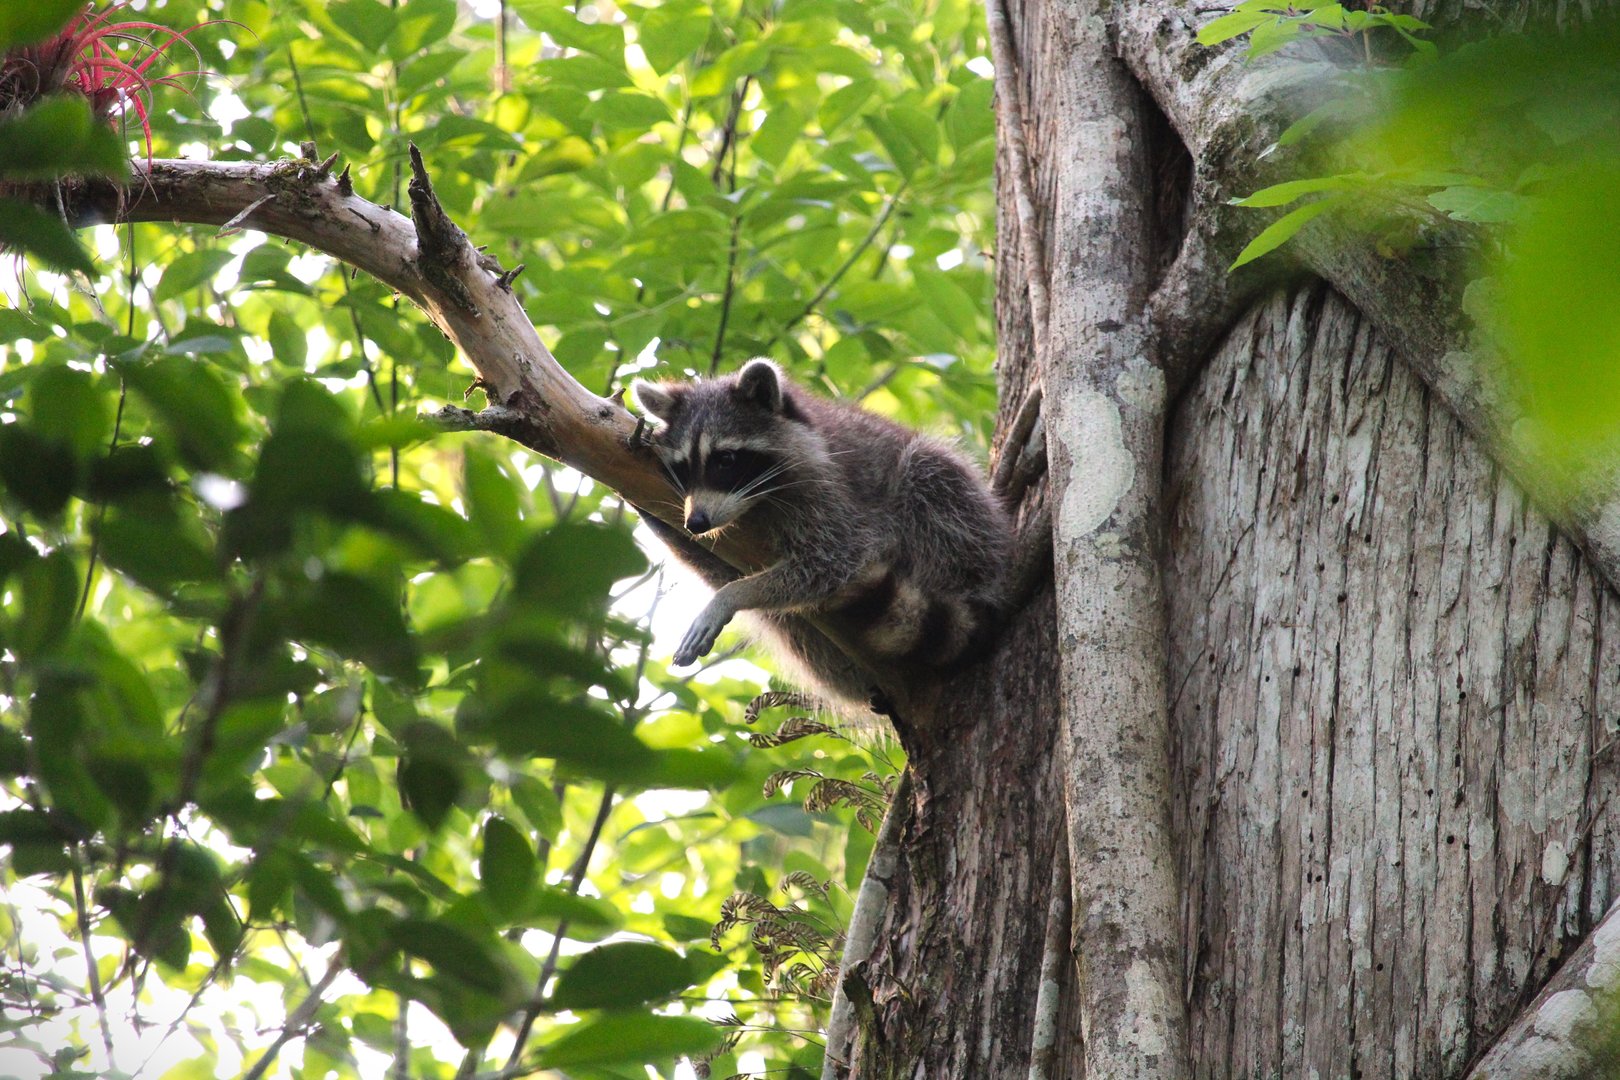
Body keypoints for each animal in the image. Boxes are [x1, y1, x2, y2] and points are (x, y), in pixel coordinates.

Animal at [630, 358, 1013, 708]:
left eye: (725, 459)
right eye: (683, 467)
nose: (695, 522)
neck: (758, 503)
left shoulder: (831, 493)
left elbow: (834, 561)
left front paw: (732, 595)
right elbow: (715, 564)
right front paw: (656, 519)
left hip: (963, 527)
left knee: (931, 473)